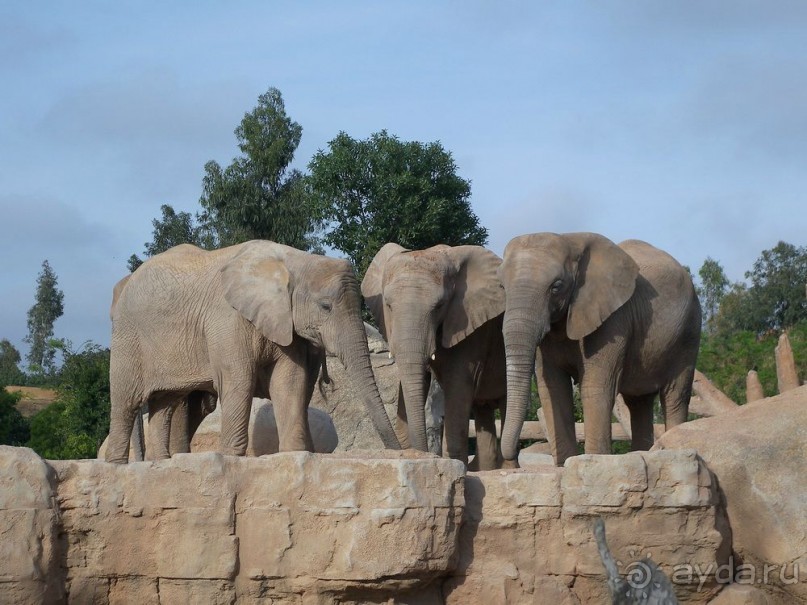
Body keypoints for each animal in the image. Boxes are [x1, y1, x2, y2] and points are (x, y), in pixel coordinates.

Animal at [104, 241, 400, 462]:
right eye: (325, 306)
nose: (398, 451)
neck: (293, 261)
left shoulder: (285, 323)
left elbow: (289, 381)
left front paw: (294, 454)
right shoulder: (227, 319)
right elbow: (238, 380)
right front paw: (229, 458)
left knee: (164, 403)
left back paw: (160, 464)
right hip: (128, 337)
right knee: (126, 401)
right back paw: (117, 466)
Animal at [498, 234, 700, 464]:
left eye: (556, 286)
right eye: (501, 287)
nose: (514, 453)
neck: (570, 240)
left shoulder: (613, 318)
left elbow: (595, 386)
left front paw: (592, 461)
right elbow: (552, 388)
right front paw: (565, 465)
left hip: (689, 332)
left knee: (675, 395)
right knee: (639, 402)